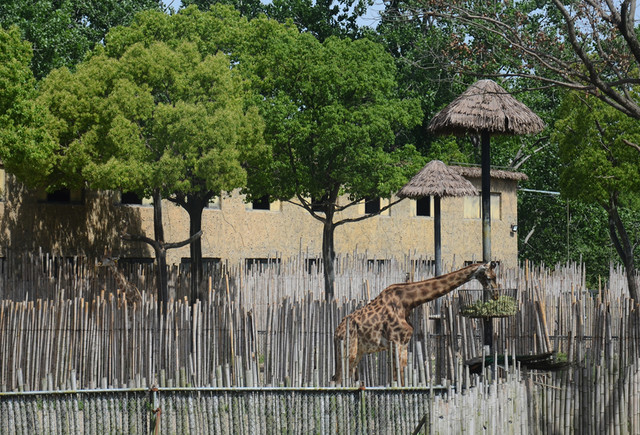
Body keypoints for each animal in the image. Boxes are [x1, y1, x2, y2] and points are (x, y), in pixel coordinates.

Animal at [332, 261, 499, 385]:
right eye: (490, 277)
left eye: (495, 276)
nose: (496, 295)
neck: (408, 302)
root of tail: (336, 332)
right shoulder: (396, 341)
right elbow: (397, 378)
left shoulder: (404, 343)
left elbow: (401, 378)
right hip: (349, 349)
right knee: (339, 379)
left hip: (357, 351)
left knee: (341, 377)